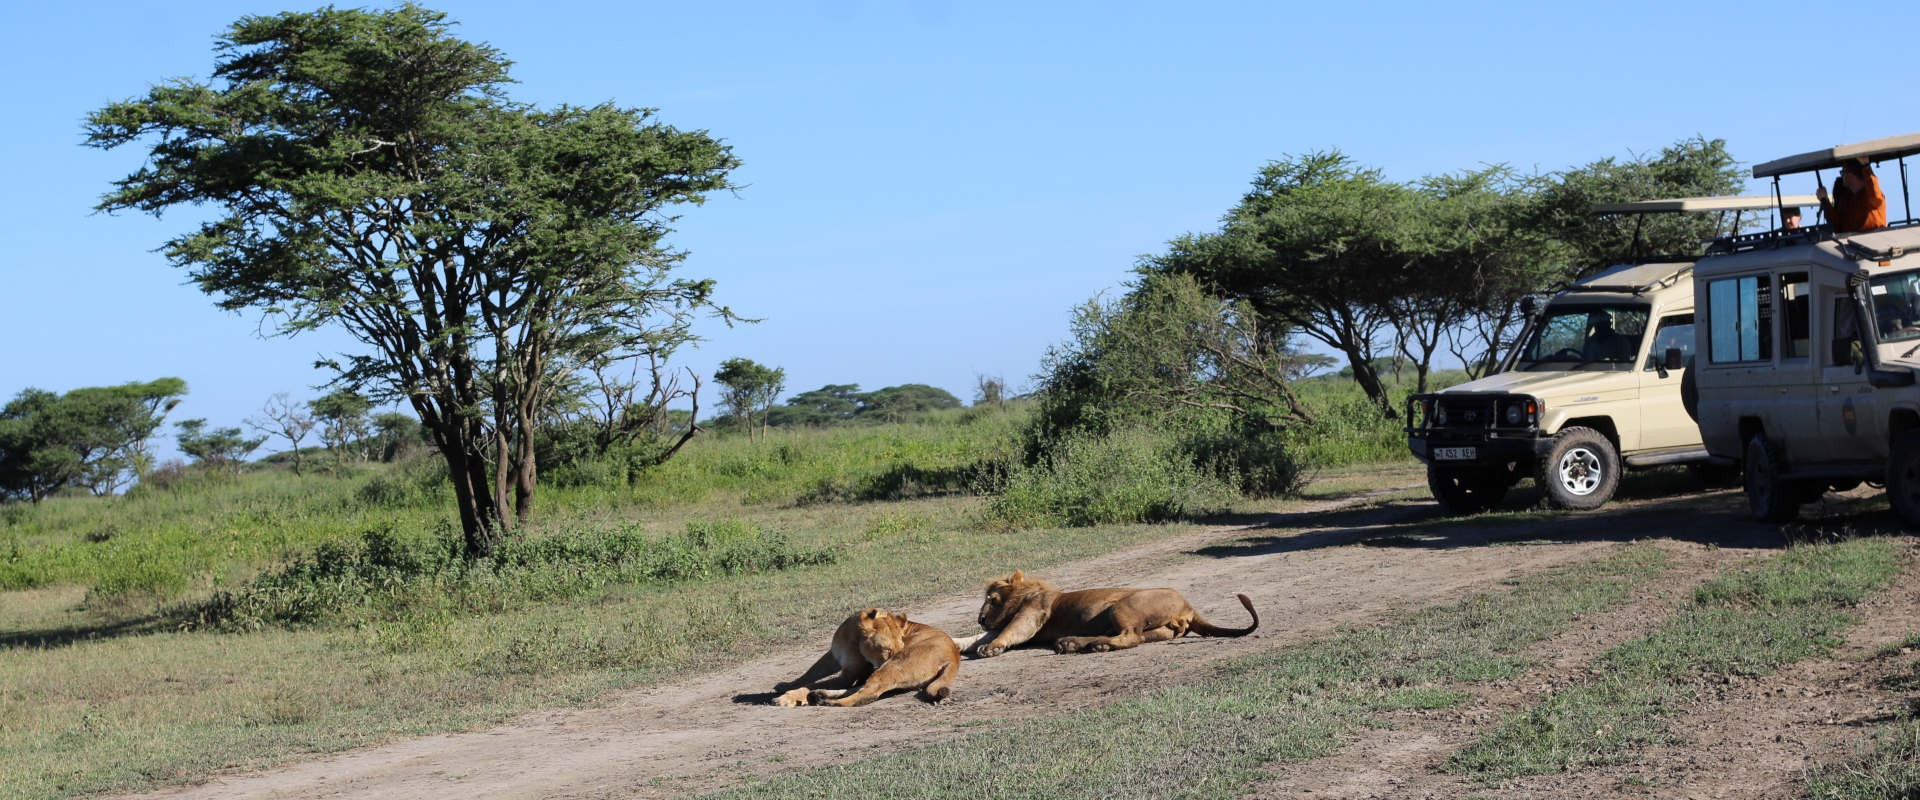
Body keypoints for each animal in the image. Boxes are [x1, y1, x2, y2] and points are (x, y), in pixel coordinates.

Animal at [771, 606, 960, 705]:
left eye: (901, 648)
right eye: (887, 650)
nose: (894, 655)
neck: (853, 639)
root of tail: (954, 656)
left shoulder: (849, 675)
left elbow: (811, 683)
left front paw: (786, 697)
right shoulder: (832, 656)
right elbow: (811, 673)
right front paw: (785, 685)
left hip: (891, 668)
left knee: (865, 695)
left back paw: (823, 701)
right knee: (859, 689)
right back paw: (819, 695)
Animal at [960, 567, 1259, 656]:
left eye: (992, 599)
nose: (980, 619)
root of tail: (1189, 606)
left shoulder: (1032, 614)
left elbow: (1011, 631)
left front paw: (991, 648)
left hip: (1121, 606)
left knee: (1130, 637)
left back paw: (1082, 645)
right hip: (1159, 630)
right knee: (1134, 637)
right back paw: (1073, 643)